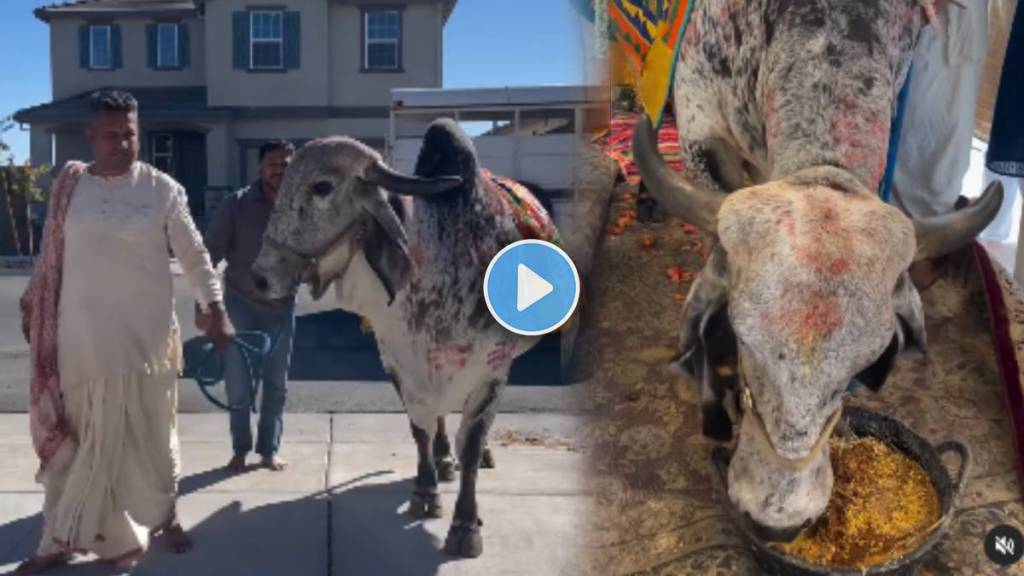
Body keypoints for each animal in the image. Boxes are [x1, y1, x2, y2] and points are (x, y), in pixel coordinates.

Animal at [250, 118, 548, 553]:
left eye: (322, 187)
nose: (260, 277)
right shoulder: (398, 362)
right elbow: (419, 429)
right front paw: (425, 492)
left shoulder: (492, 367)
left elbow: (472, 441)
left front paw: (466, 525)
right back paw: (443, 461)